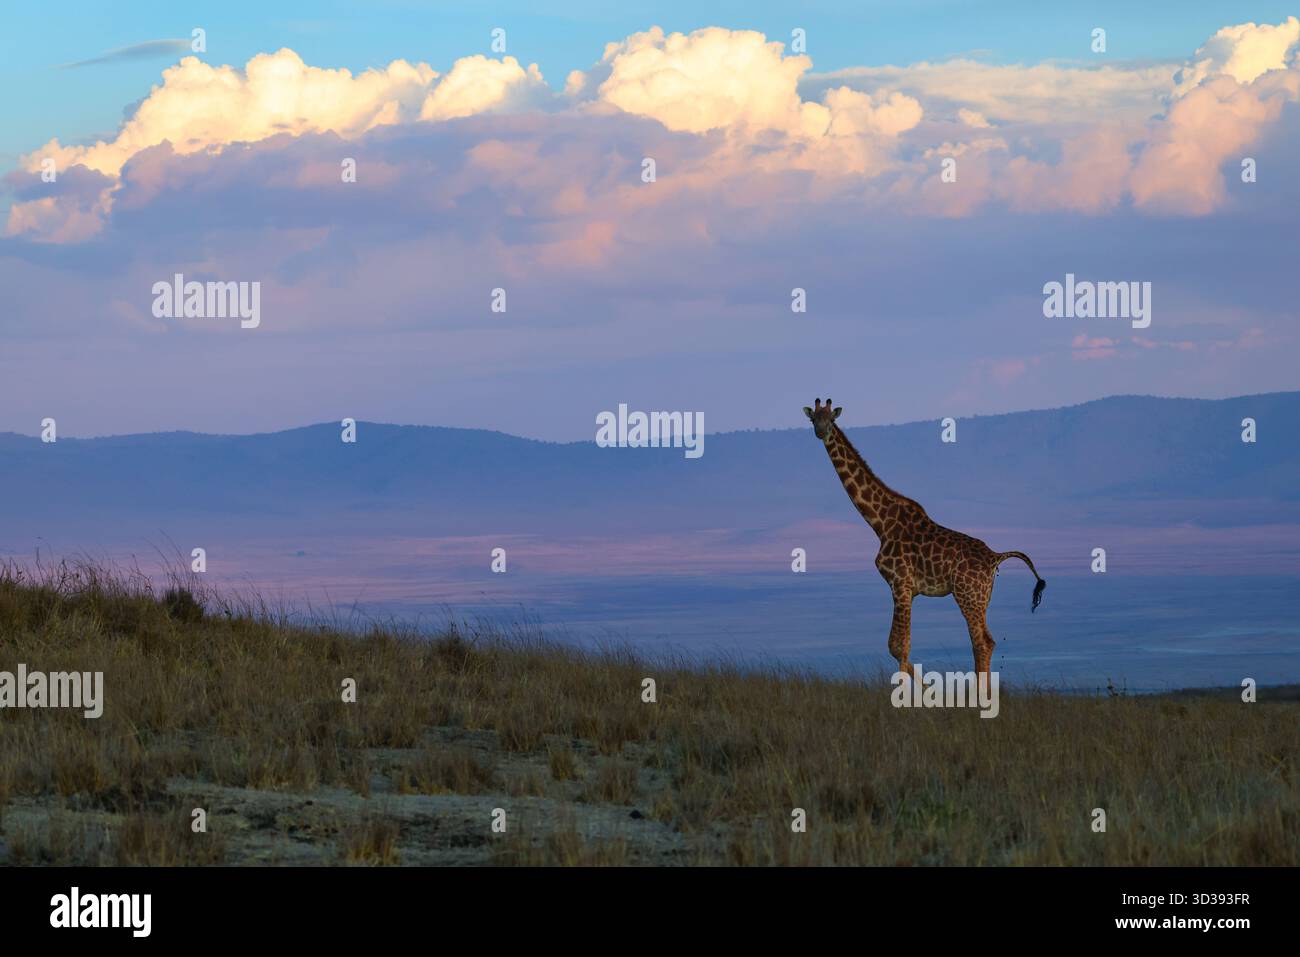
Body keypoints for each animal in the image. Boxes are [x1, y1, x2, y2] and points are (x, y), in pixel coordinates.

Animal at [803, 398, 1045, 676]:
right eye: (813, 419)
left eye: (831, 419)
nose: (820, 431)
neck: (880, 523)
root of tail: (995, 557)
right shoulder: (906, 589)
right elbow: (896, 646)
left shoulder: (901, 584)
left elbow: (900, 646)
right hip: (982, 598)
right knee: (989, 641)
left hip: (967, 595)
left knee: (981, 642)